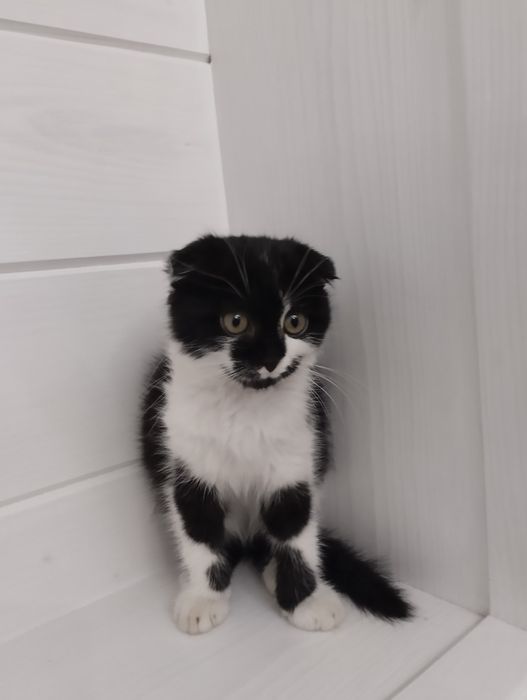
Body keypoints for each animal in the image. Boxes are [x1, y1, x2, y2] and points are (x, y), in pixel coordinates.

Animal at [140, 234, 412, 634]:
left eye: (294, 322)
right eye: (235, 321)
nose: (271, 358)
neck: (246, 407)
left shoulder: (296, 455)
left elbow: (294, 532)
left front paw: (306, 601)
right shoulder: (185, 462)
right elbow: (199, 532)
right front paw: (204, 599)